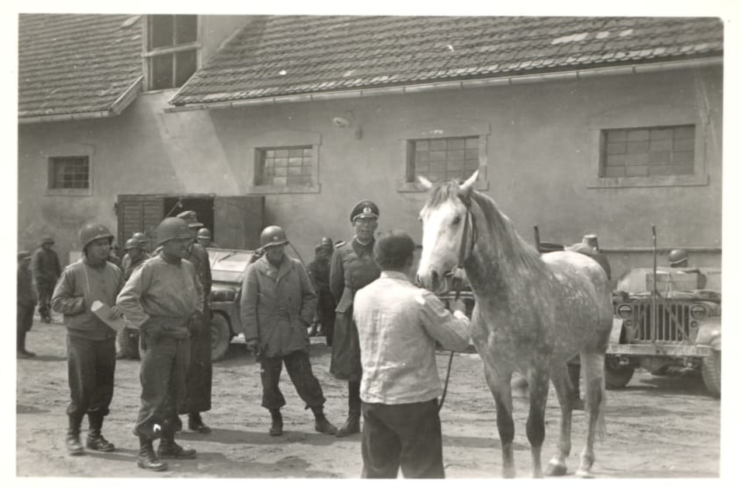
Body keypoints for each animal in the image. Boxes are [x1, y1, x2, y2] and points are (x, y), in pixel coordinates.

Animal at [416, 170, 612, 478]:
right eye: (423, 218)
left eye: (457, 219)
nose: (427, 277)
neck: (506, 296)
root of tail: (591, 265)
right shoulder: (495, 372)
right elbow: (505, 429)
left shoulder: (536, 371)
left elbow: (534, 431)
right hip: (559, 360)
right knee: (567, 399)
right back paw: (559, 461)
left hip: (593, 351)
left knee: (592, 403)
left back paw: (584, 465)